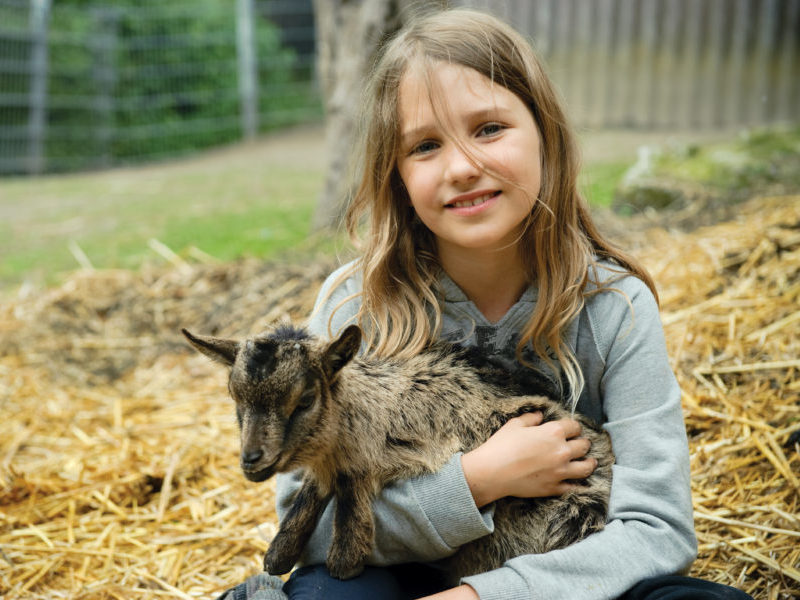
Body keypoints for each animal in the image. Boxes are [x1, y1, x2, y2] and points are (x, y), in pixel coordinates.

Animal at [183, 326, 612, 584]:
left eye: (304, 400)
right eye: (235, 398)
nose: (252, 459)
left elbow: (342, 552)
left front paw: (344, 554)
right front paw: (279, 553)